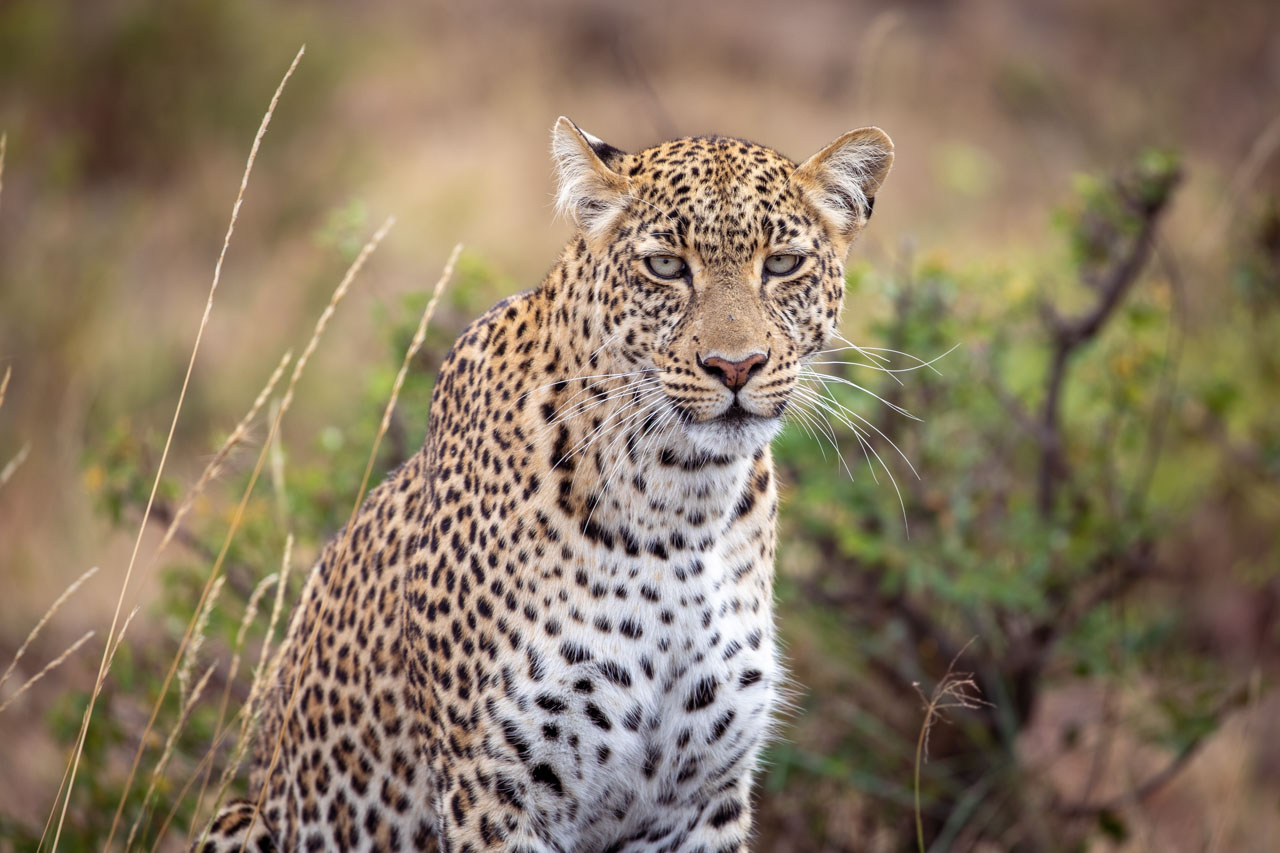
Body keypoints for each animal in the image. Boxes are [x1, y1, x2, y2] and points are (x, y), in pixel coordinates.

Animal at [199, 114, 896, 850]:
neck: (684, 506)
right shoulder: (495, 790)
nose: (736, 366)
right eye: (666, 266)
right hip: (241, 817)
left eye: (784, 264)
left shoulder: (701, 798)